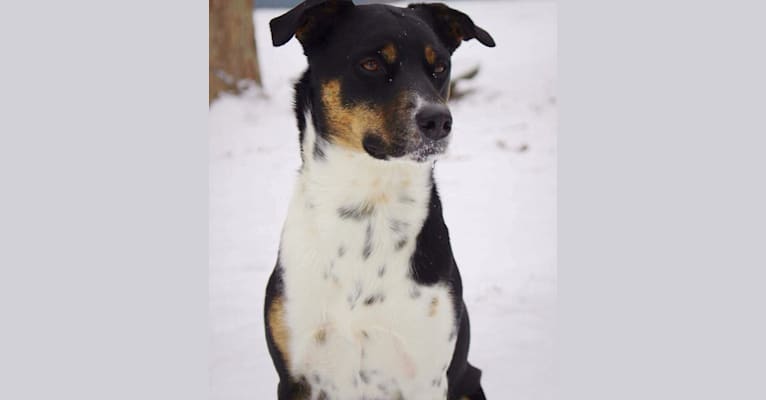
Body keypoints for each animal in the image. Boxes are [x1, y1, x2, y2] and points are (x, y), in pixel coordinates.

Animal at [264, 1, 496, 398]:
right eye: (371, 64)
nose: (439, 121)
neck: (369, 206)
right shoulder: (296, 375)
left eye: (440, 68)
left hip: (468, 378)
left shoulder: (427, 374)